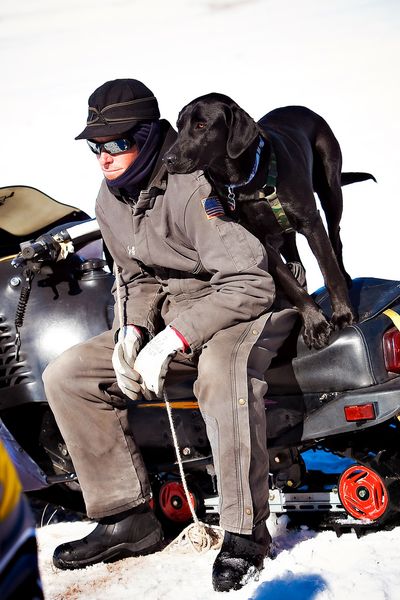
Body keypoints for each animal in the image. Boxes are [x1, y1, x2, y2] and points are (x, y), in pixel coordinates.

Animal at [164, 91, 376, 350]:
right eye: (179, 126)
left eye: (201, 125)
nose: (167, 159)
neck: (245, 180)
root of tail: (304, 109)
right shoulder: (261, 242)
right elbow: (290, 283)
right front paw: (314, 322)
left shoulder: (311, 222)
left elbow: (329, 271)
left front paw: (343, 315)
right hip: (285, 232)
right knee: (296, 259)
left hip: (331, 190)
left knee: (335, 239)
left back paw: (345, 276)